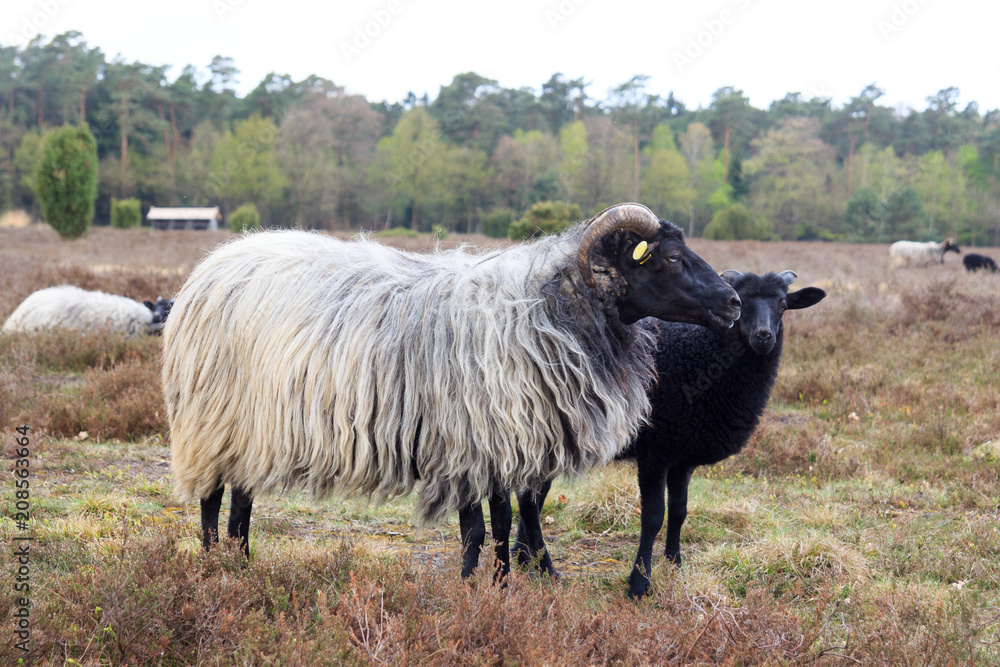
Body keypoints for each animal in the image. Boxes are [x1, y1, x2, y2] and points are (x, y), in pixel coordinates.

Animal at [161, 203, 743, 563]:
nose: (734, 303)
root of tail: (212, 265)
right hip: (212, 419)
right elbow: (476, 532)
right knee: (212, 500)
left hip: (250, 425)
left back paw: (241, 563)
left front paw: (501, 590)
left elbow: (502, 526)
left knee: (240, 501)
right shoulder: (467, 442)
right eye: (671, 258)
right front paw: (472, 593)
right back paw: (215, 567)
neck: (548, 311)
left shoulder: (503, 446)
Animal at [513, 270, 826, 598]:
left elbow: (679, 511)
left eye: (782, 305)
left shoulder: (683, 453)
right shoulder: (655, 452)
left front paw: (675, 564)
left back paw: (525, 558)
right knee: (529, 500)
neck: (700, 353)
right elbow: (652, 517)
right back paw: (545, 568)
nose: (763, 336)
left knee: (532, 496)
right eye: (741, 302)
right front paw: (639, 583)